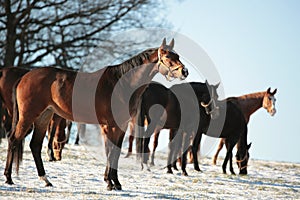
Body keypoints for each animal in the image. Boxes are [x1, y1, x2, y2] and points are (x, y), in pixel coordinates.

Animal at [4, 38, 188, 191]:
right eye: (168, 57)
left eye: (177, 55)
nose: (184, 72)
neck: (122, 84)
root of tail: (24, 77)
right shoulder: (110, 126)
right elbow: (110, 152)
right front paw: (109, 182)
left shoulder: (120, 127)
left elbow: (115, 153)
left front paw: (116, 182)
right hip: (28, 115)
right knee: (13, 139)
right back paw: (8, 178)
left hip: (44, 116)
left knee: (34, 145)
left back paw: (46, 180)